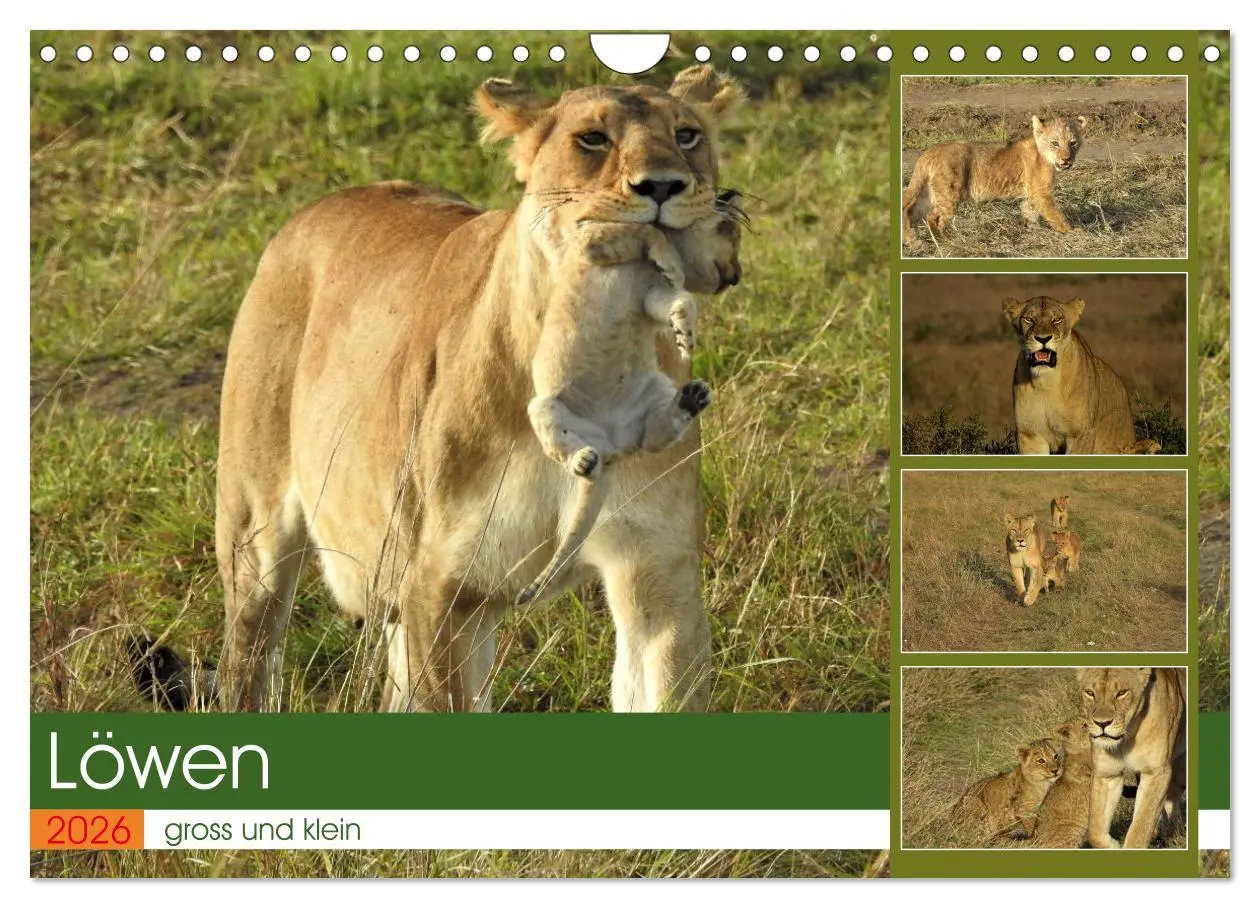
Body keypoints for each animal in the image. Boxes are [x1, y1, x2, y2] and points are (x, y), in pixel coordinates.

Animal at [518, 196, 743, 605]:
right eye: (732, 235)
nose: (737, 275)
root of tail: (611, 447)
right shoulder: (593, 240)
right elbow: (648, 231)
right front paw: (670, 263)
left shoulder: (651, 295)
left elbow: (682, 298)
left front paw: (685, 335)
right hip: (542, 407)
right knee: (562, 446)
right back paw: (583, 460)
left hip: (657, 387)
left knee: (652, 438)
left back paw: (692, 398)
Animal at [902, 114, 1087, 245]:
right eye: (1055, 143)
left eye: (1073, 143)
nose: (1066, 160)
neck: (1045, 156)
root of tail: (929, 152)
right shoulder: (1042, 193)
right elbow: (1055, 215)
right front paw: (1073, 232)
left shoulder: (1032, 194)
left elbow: (1029, 211)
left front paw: (1033, 230)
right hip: (949, 194)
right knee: (933, 218)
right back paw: (944, 241)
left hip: (928, 194)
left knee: (910, 211)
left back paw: (914, 242)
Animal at [1003, 296, 1156, 455]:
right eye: (1029, 319)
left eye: (1057, 320)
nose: (1043, 339)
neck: (1046, 383)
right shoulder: (1030, 434)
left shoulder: (1081, 433)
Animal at [1077, 668, 1187, 849]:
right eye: (1090, 693)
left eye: (1122, 693)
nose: (1102, 724)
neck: (1127, 737)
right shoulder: (1107, 774)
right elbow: (1094, 831)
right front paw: (1114, 846)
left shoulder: (1156, 772)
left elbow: (1141, 826)